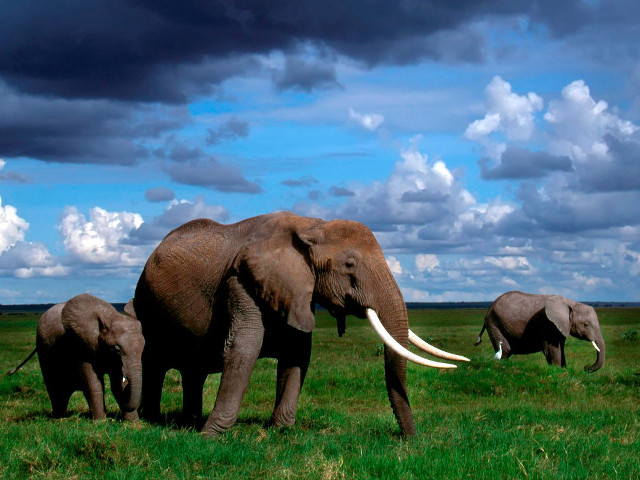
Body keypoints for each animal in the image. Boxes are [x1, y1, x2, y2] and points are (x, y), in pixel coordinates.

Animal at [8, 293, 145, 420]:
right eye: (116, 348)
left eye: (143, 347)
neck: (110, 317)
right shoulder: (81, 346)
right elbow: (93, 383)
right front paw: (100, 421)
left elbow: (117, 384)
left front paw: (132, 422)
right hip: (44, 350)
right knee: (55, 388)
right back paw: (58, 417)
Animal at [133, 211, 468, 437]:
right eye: (349, 265)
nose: (409, 438)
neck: (312, 226)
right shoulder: (242, 280)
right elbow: (244, 347)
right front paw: (211, 436)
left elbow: (297, 353)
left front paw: (281, 431)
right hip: (146, 305)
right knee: (154, 361)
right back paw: (150, 420)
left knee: (194, 370)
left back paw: (187, 421)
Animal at [476, 291, 605, 372]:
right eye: (585, 324)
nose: (586, 367)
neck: (571, 303)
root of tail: (489, 308)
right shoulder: (548, 324)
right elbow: (552, 349)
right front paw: (558, 370)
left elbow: (560, 348)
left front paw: (564, 369)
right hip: (494, 323)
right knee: (505, 350)